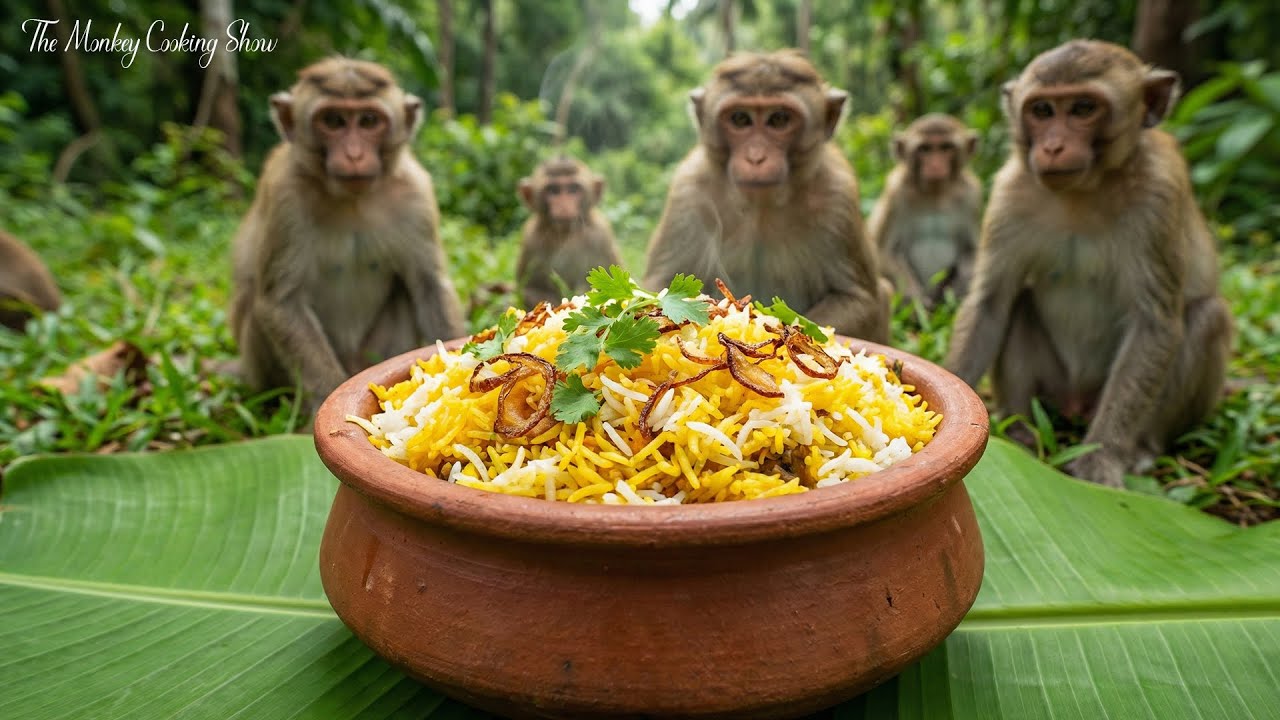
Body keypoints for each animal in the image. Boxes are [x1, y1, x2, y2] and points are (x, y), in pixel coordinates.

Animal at [230, 57, 466, 414]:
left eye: (368, 121)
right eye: (333, 121)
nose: (354, 155)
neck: (352, 200)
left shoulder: (416, 193)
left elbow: (428, 285)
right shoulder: (285, 192)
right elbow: (281, 301)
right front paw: (323, 400)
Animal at [515, 156, 623, 308]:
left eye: (573, 189)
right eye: (553, 190)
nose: (563, 205)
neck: (565, 234)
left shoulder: (601, 235)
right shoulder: (531, 239)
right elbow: (530, 289)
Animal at [642, 50, 891, 343]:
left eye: (779, 119)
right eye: (740, 119)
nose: (756, 157)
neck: (762, 203)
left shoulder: (838, 195)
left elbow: (861, 299)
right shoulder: (688, 191)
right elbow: (662, 282)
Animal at [867, 113, 982, 307]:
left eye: (946, 147)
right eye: (925, 149)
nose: (935, 165)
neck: (934, 195)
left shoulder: (971, 195)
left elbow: (973, 250)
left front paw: (956, 294)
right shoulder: (896, 192)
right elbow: (885, 252)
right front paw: (916, 304)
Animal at [945, 39, 1233, 489]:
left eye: (1083, 108)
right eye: (1042, 110)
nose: (1052, 147)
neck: (1085, 192)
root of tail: (1077, 402)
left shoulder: (1159, 194)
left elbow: (1154, 322)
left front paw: (1101, 458)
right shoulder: (1011, 192)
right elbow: (990, 303)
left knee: (1208, 317)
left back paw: (1142, 448)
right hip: (1057, 384)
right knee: (1019, 304)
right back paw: (1021, 430)